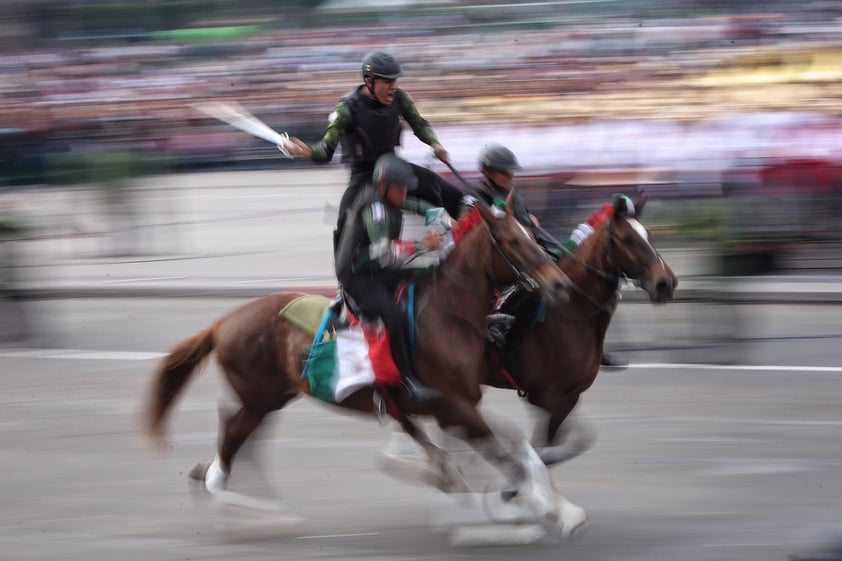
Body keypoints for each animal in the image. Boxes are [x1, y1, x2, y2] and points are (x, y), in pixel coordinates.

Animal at [144, 192, 576, 524]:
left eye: (533, 233)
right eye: (514, 241)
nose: (560, 284)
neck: (447, 313)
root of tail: (222, 322)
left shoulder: (453, 407)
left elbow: (509, 448)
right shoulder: (454, 405)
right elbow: (508, 454)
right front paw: (556, 512)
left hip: (271, 397)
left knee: (241, 436)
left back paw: (252, 501)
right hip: (259, 397)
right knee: (234, 436)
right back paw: (239, 497)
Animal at [486, 192, 676, 464]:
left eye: (648, 234)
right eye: (627, 239)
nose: (666, 283)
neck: (573, 310)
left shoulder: (568, 398)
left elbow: (576, 442)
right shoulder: (545, 397)